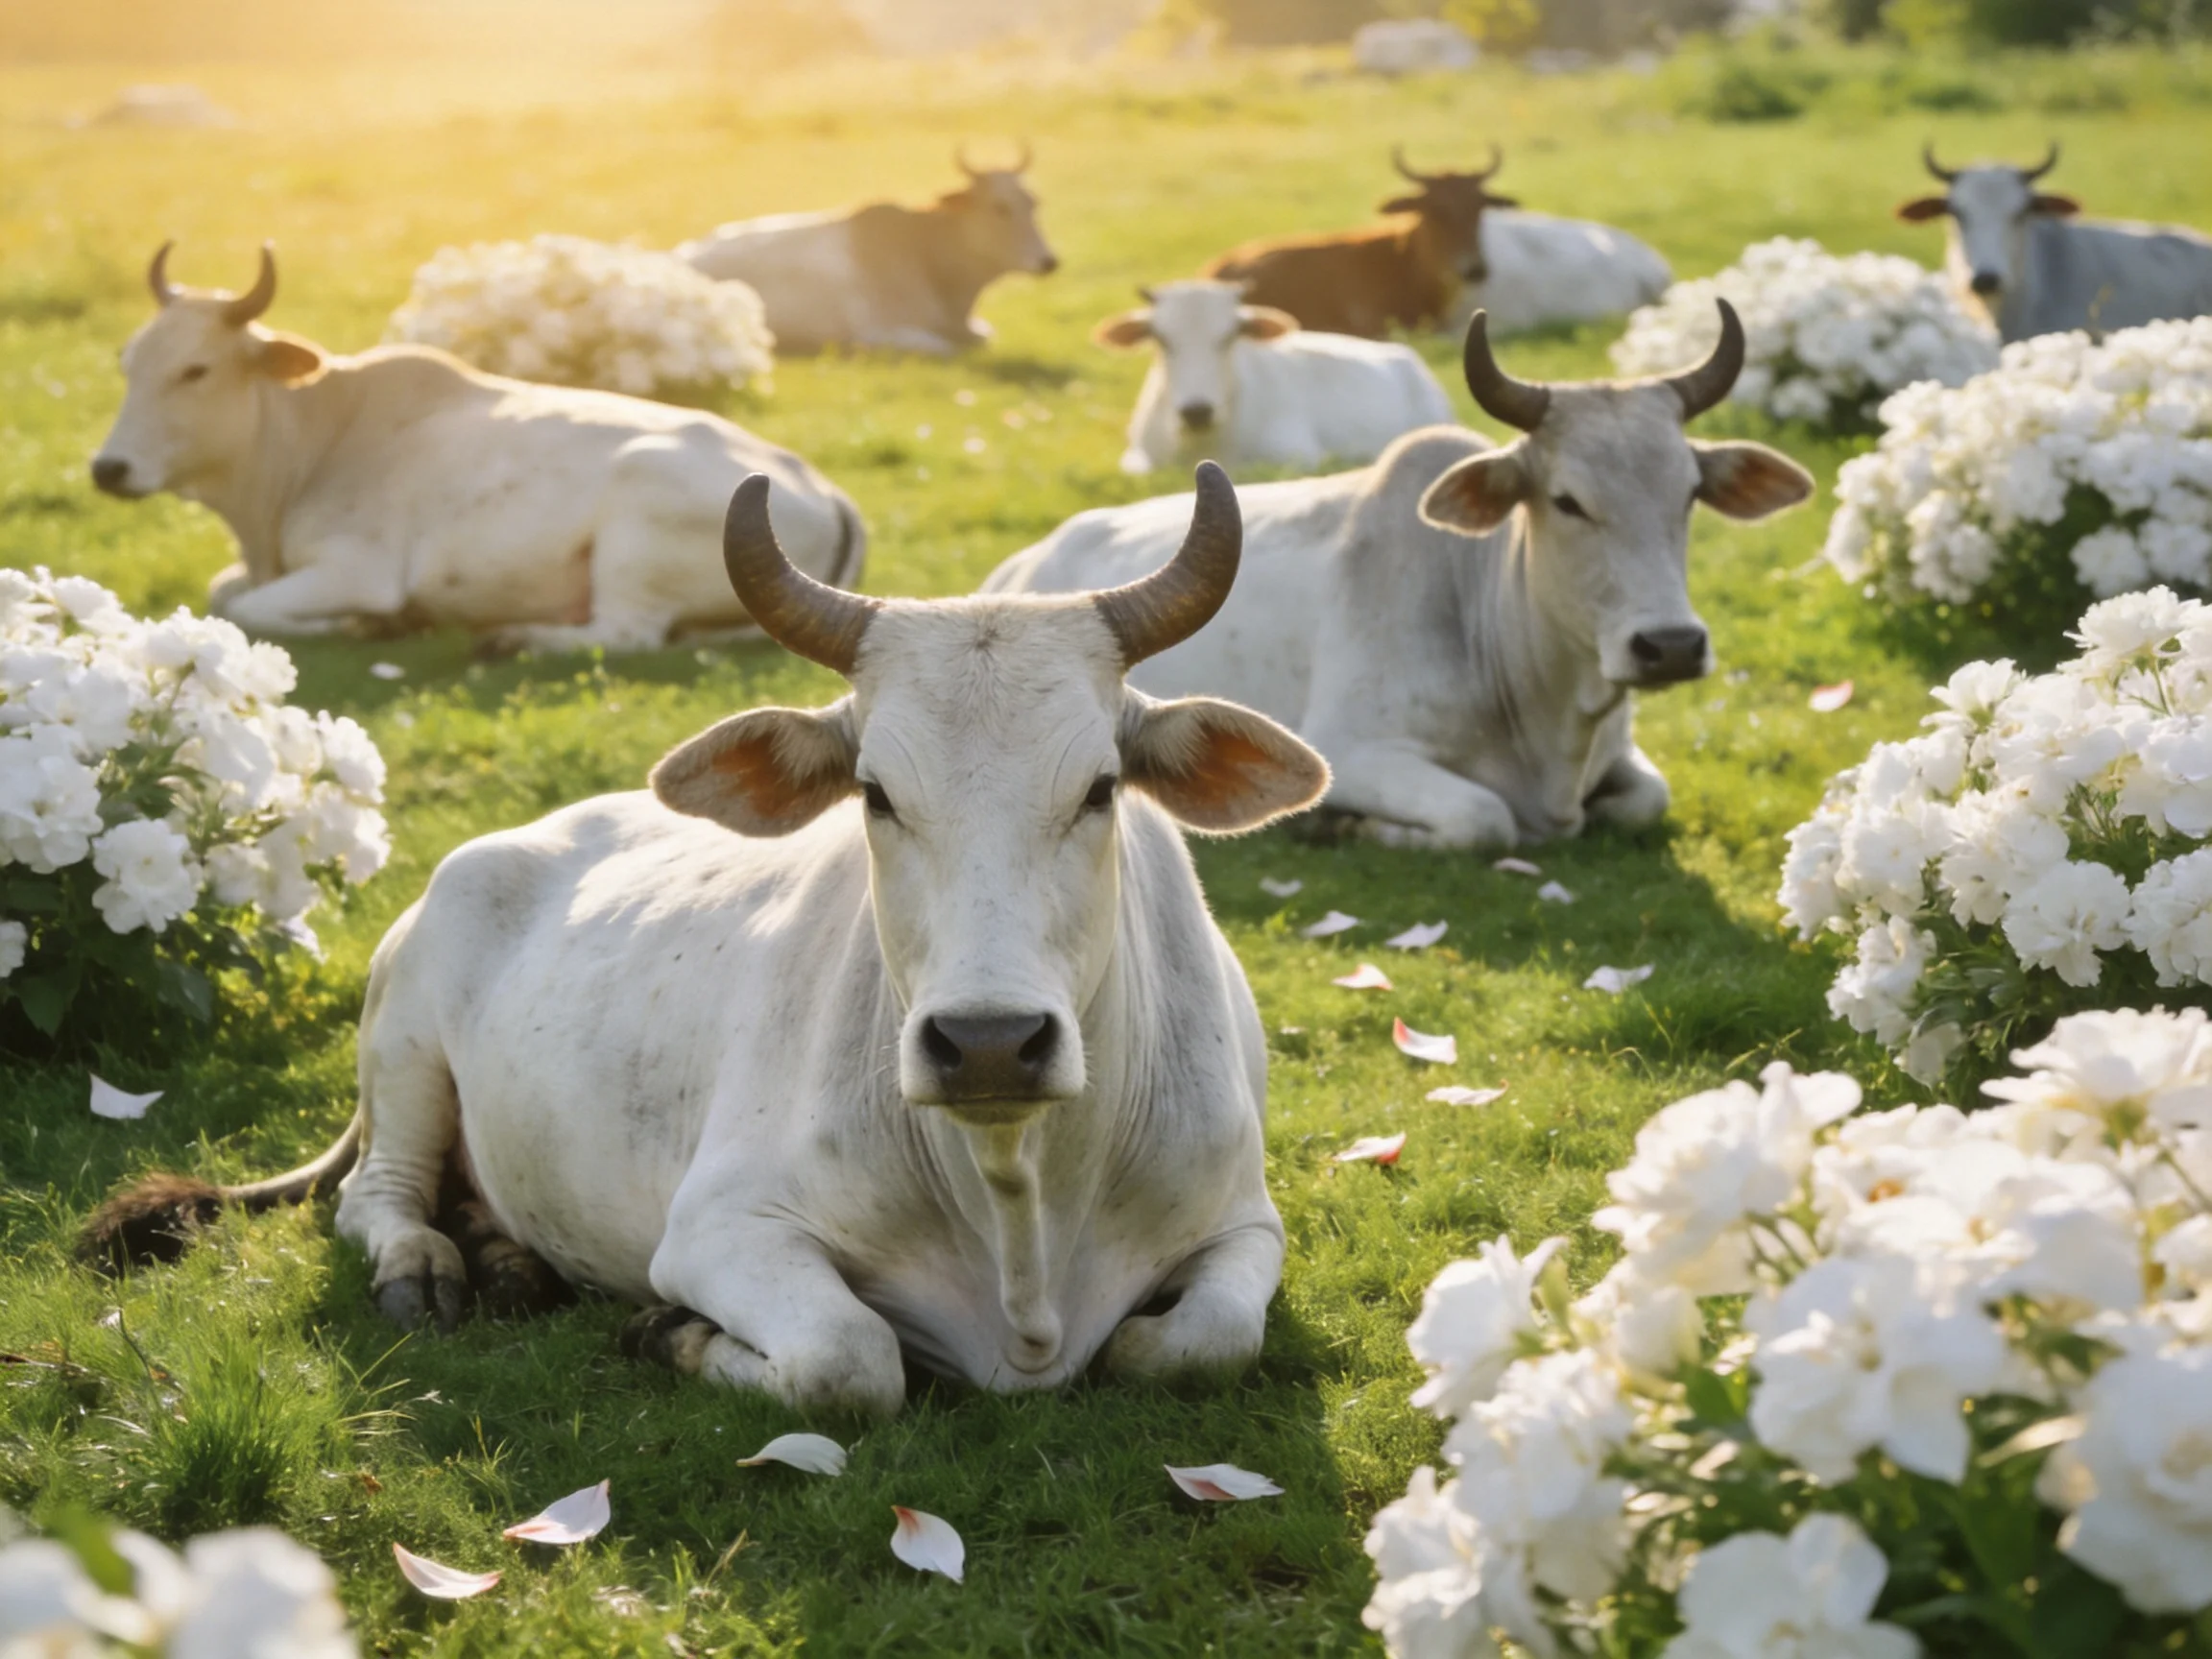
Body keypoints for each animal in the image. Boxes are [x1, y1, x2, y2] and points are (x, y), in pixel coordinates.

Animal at [81, 465, 1331, 1417]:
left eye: (1102, 788)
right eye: (874, 792)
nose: (987, 1044)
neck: (1018, 1196)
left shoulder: (1245, 1224)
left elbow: (1197, 1344)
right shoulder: (722, 1231)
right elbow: (849, 1363)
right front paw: (669, 1334)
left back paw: (512, 1261)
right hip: (403, 1047)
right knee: (373, 1197)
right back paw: (428, 1269)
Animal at [90, 244, 864, 653]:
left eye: (196, 370)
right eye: (127, 362)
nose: (108, 468)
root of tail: (825, 489)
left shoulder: (358, 568)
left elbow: (244, 609)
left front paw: (360, 623)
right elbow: (224, 591)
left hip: (640, 522)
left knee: (626, 634)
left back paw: (514, 638)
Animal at [678, 145, 1058, 356]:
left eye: (1034, 202)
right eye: (999, 207)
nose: (1048, 261)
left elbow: (985, 336)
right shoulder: (882, 331)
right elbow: (944, 348)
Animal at [985, 302, 1814, 851]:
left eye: (1688, 494)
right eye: (1567, 500)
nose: (1670, 646)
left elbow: (1646, 800)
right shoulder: (1353, 750)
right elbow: (1483, 820)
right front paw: (1362, 826)